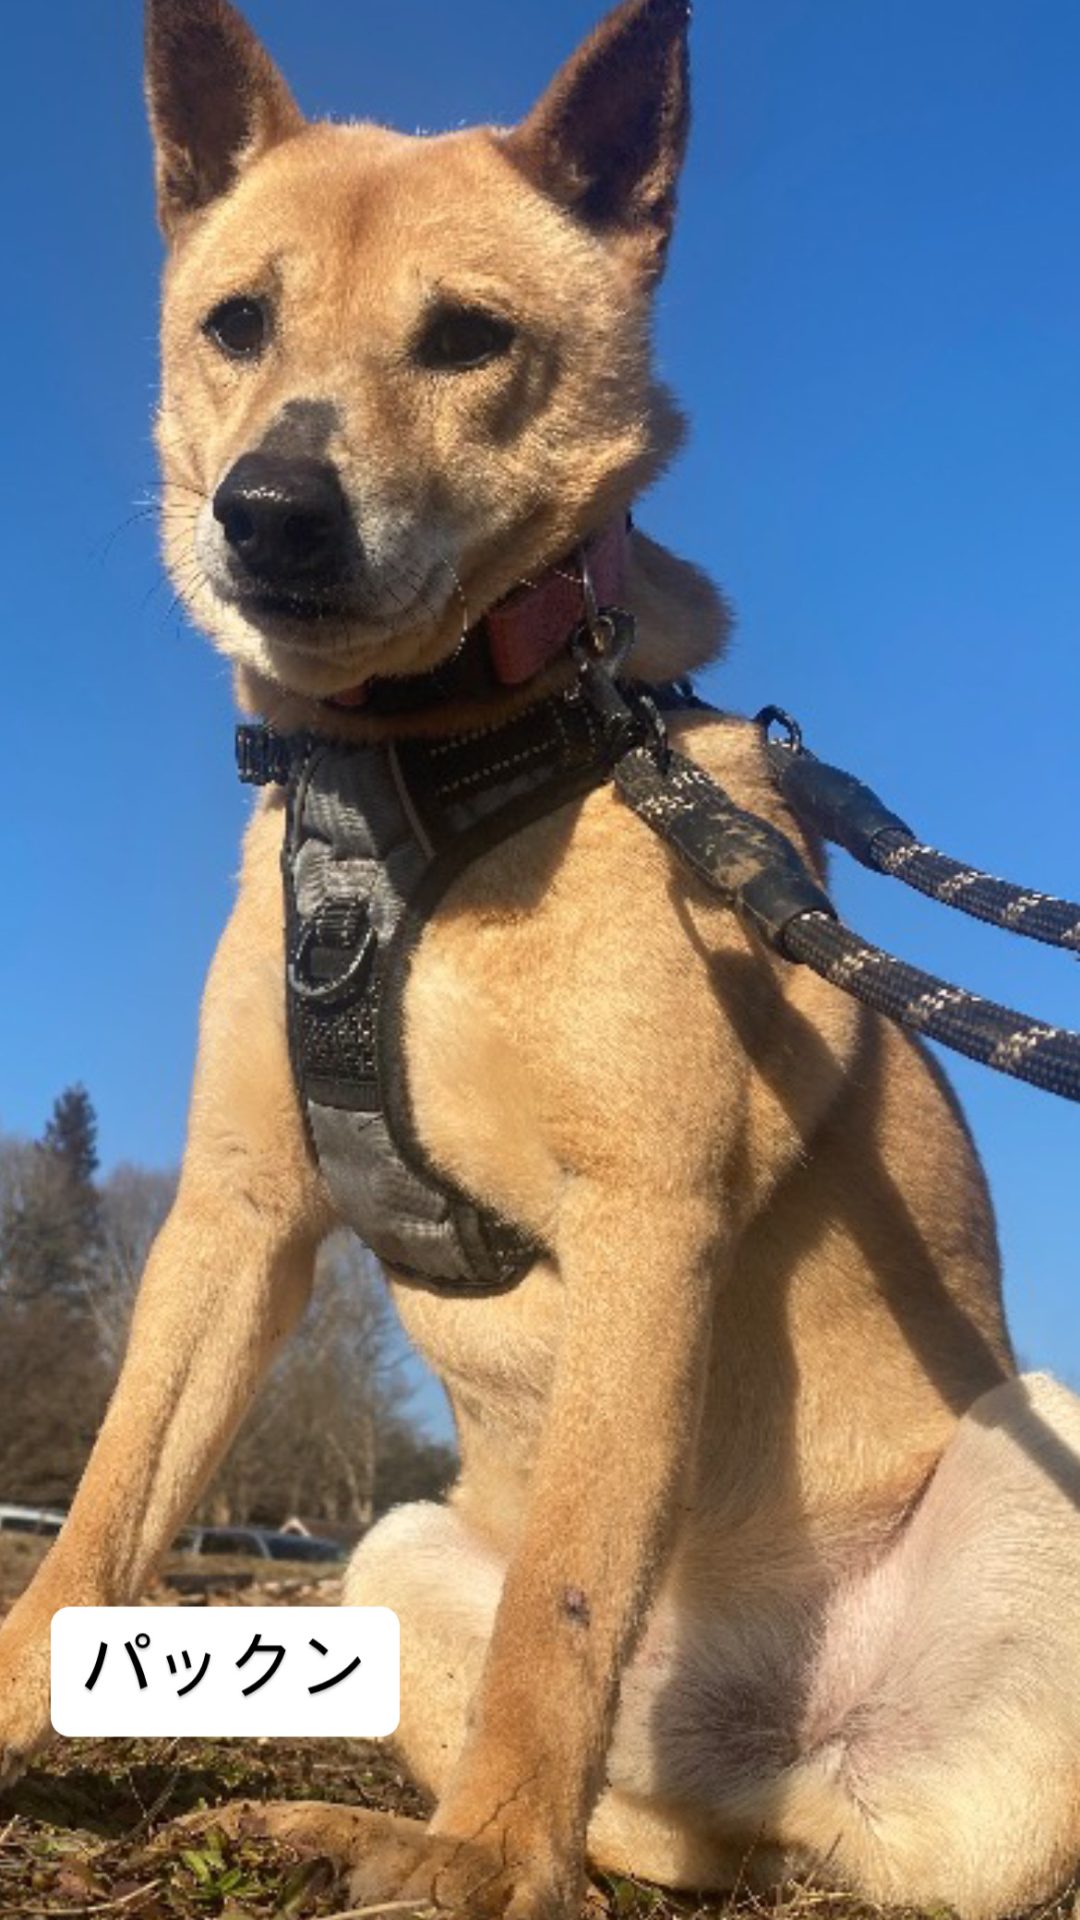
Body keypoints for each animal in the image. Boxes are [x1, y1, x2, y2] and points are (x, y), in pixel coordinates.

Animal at [1, 2, 1078, 1915]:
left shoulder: (651, 1205)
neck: (422, 755)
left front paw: (485, 1865)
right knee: (653, 1825)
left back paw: (477, 1846)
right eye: (235, 320)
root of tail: (779, 1748)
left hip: (1048, 1474)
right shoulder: (234, 1216)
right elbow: (109, 1513)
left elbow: (569, 1597)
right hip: (393, 1550)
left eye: (468, 338)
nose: (269, 507)